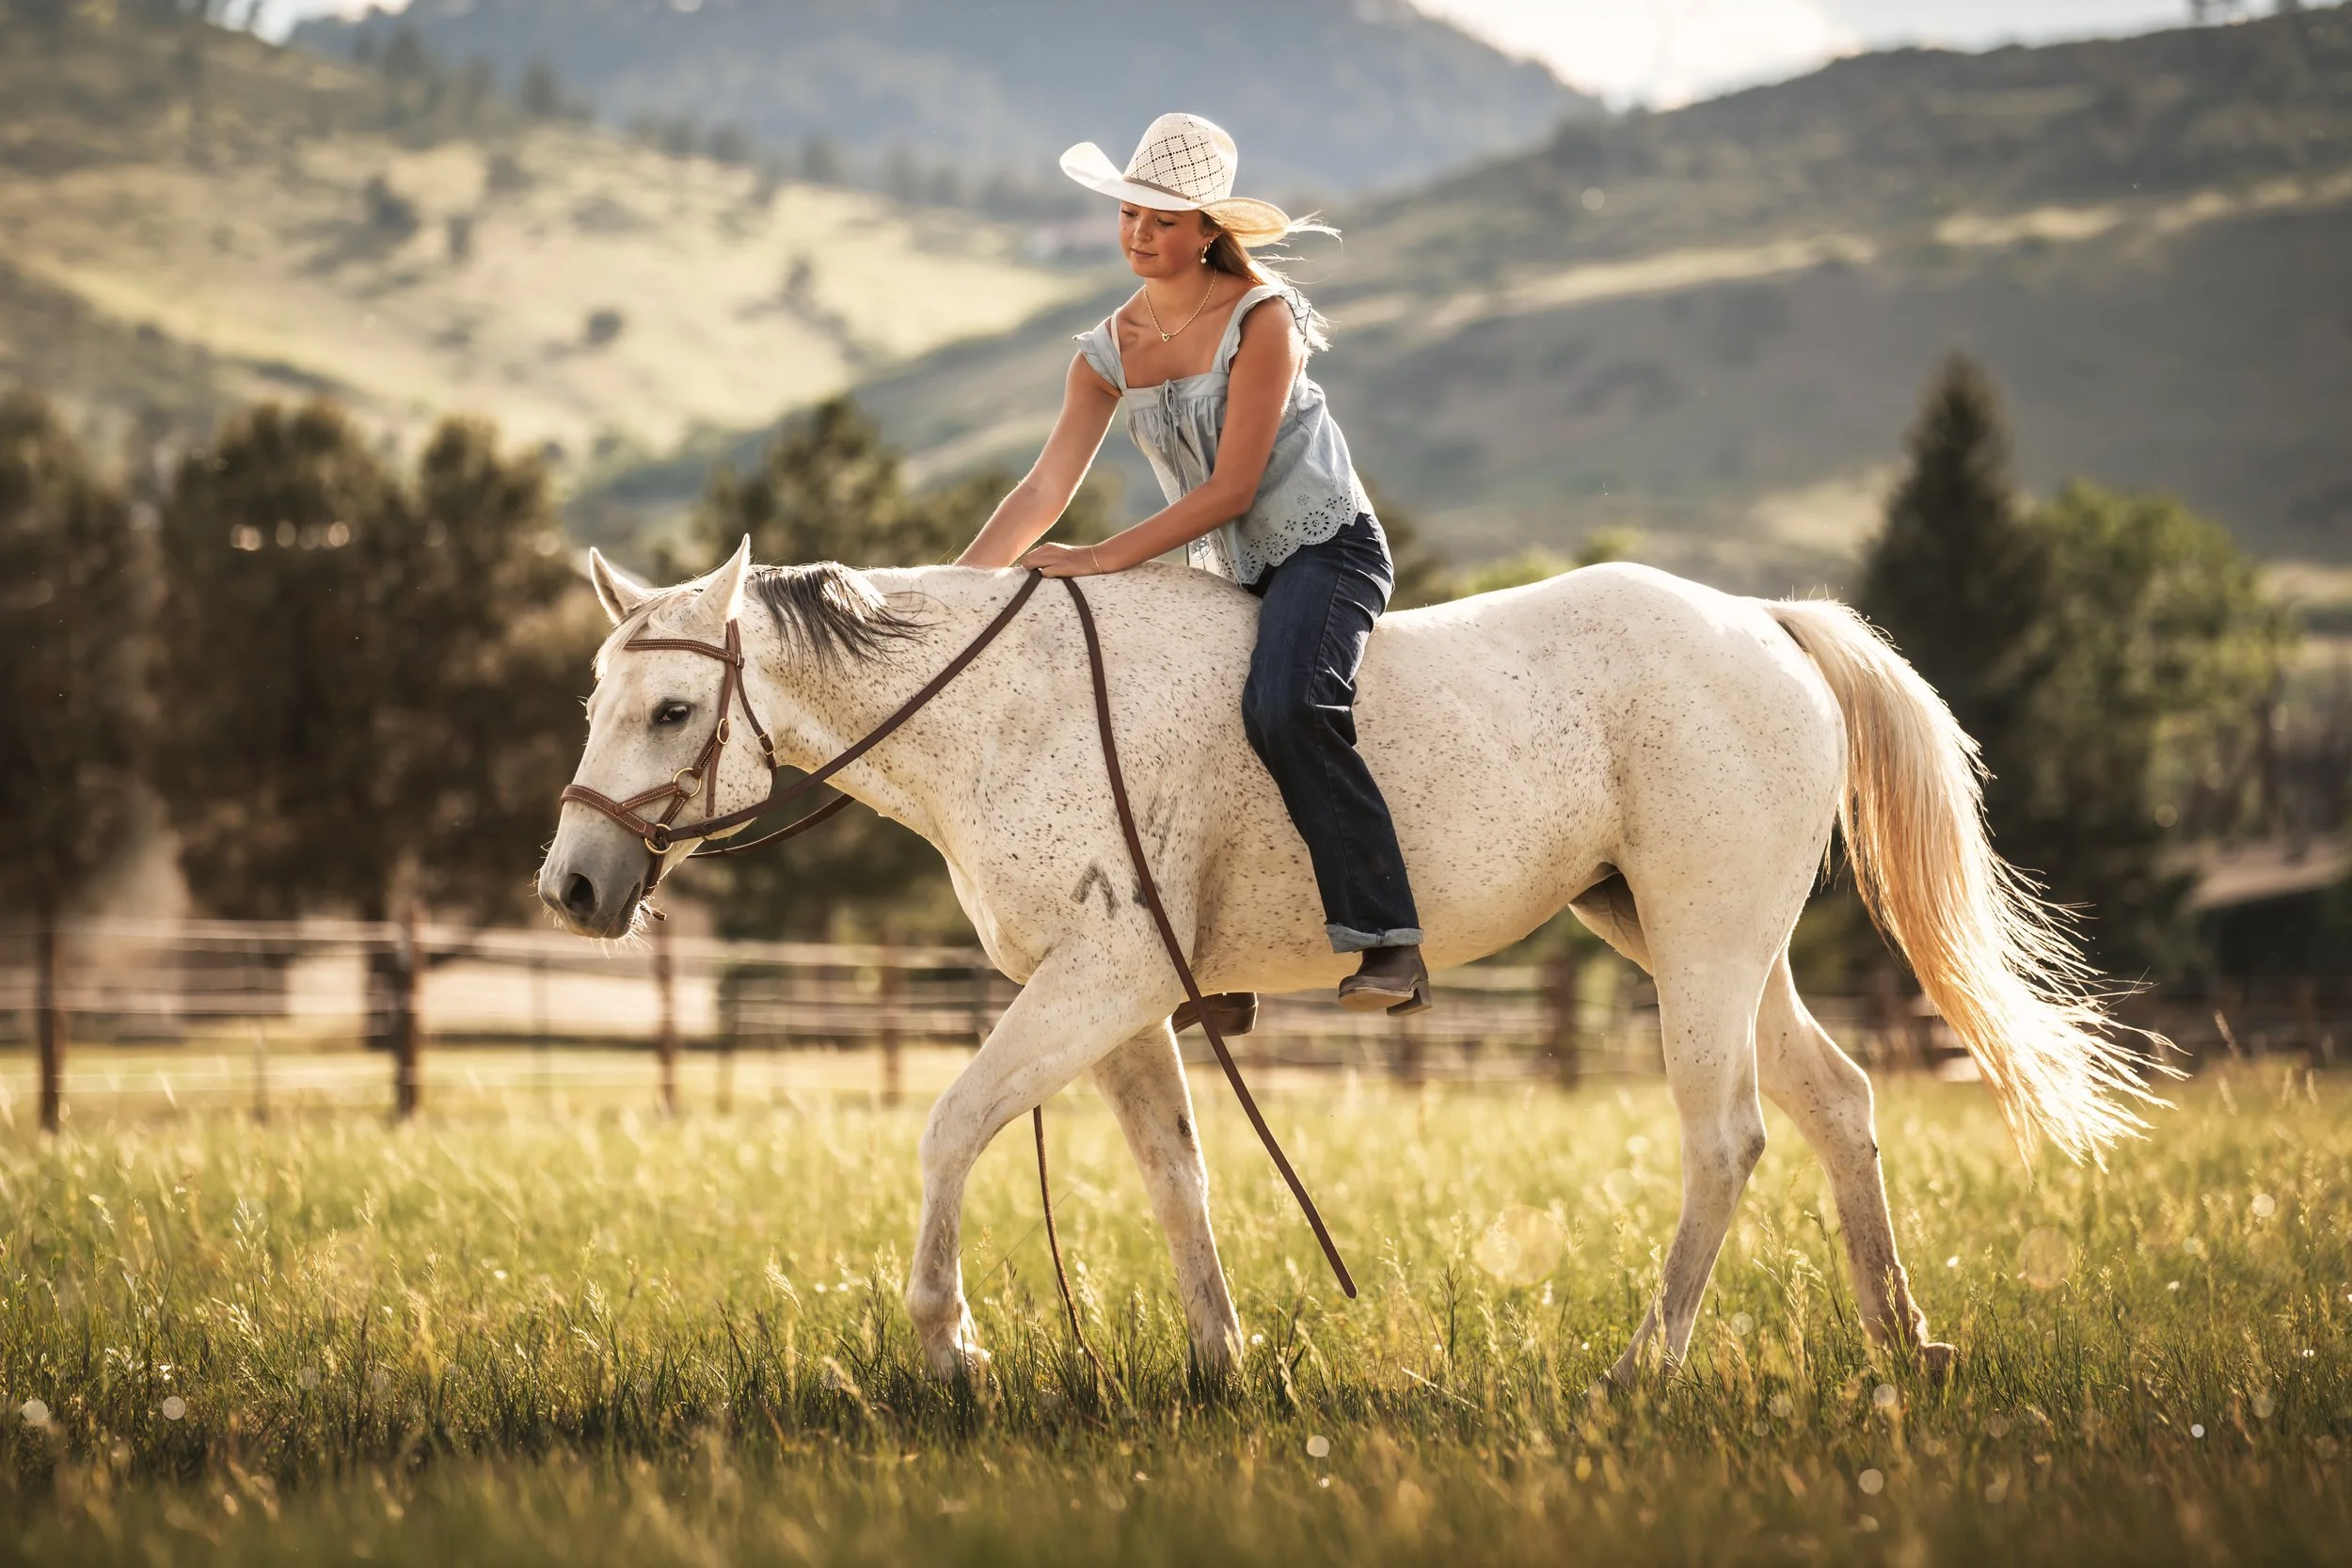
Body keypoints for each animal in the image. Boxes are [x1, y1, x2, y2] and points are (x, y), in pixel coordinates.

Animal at [537, 537, 2158, 1382]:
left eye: (673, 710)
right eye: (596, 700)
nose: (571, 883)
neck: (1009, 708)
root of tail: (1762, 617)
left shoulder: (1098, 983)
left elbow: (950, 1125)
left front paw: (951, 1343)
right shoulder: (1125, 1003)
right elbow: (1176, 1172)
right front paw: (1220, 1357)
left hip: (1702, 944)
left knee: (1729, 1136)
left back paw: (1648, 1360)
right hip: (1705, 938)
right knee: (1836, 1104)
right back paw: (1906, 1339)